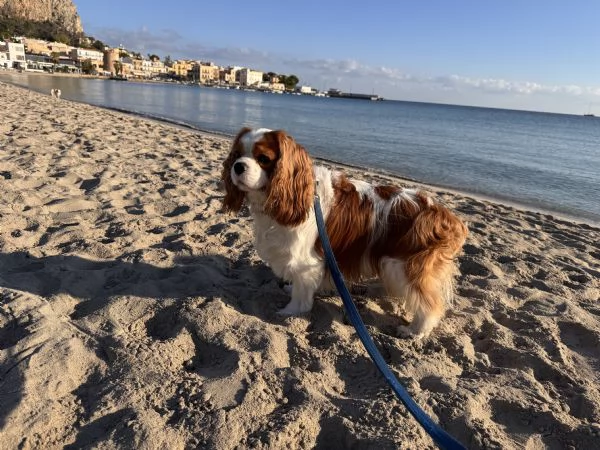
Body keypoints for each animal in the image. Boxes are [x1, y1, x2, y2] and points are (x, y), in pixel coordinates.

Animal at [221, 126, 468, 338]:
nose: (238, 166)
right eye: (237, 154)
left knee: (430, 304)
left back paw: (416, 331)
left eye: (263, 159)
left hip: (405, 266)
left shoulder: (304, 260)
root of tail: (447, 216)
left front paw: (290, 311)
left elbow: (301, 294)